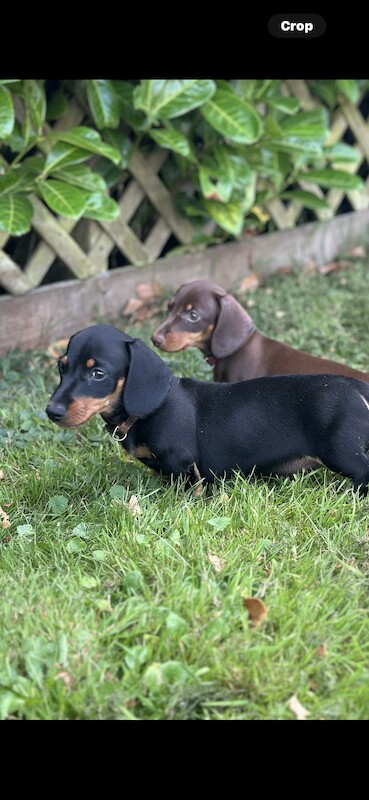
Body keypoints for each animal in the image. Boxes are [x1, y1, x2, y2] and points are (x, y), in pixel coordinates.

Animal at [46, 324, 369, 494]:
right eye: (62, 367)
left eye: (98, 373)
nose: (52, 412)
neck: (148, 413)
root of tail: (357, 386)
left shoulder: (186, 465)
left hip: (340, 450)